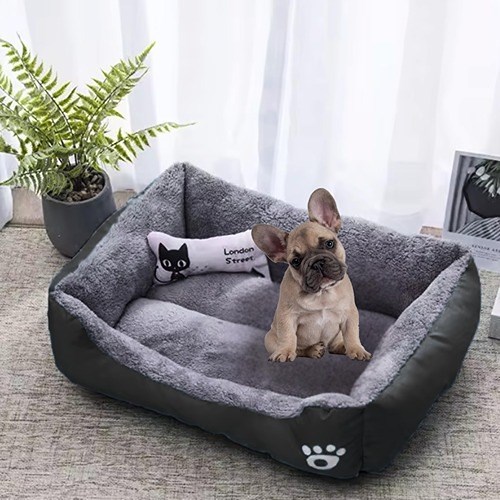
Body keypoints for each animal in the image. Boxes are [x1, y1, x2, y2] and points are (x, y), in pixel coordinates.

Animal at [251, 188, 371, 362]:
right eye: (295, 261)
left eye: (329, 243)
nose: (317, 263)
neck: (322, 294)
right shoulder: (286, 316)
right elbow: (288, 335)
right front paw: (285, 351)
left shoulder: (349, 313)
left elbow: (352, 333)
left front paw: (356, 349)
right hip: (270, 339)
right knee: (299, 349)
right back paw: (313, 350)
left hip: (336, 337)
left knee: (335, 344)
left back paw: (341, 347)